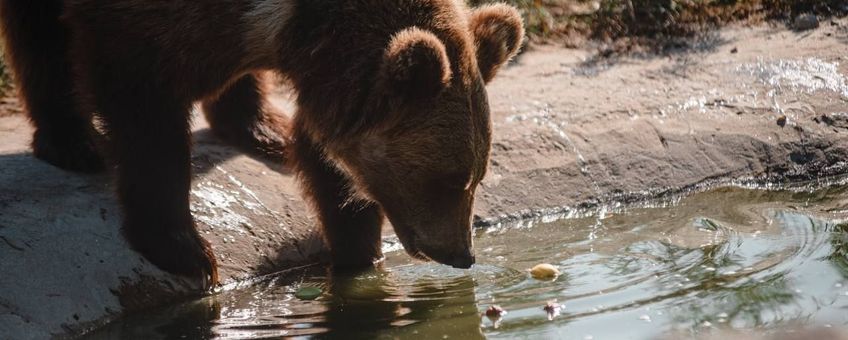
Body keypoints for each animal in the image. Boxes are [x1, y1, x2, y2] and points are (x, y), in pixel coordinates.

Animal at [0, 0, 524, 286]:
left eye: (478, 174)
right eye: (451, 179)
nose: (461, 255)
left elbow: (326, 158)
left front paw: (359, 250)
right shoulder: (131, 26)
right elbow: (145, 112)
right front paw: (186, 251)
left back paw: (260, 129)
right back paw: (72, 141)